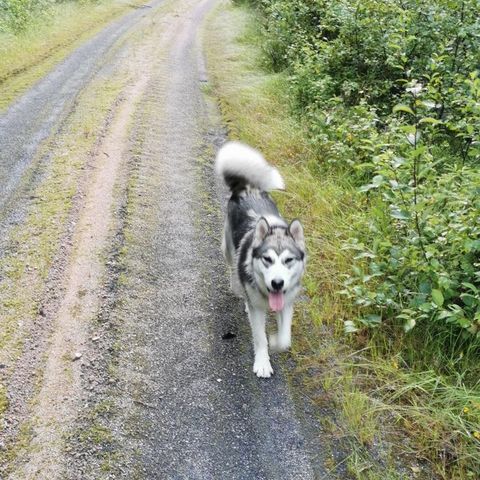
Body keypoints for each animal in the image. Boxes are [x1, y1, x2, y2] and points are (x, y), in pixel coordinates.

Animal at [216, 141, 306, 376]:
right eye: (267, 259)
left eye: (288, 260)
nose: (277, 283)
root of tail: (248, 187)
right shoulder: (258, 309)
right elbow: (259, 338)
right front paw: (263, 363)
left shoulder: (287, 303)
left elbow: (285, 339)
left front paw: (276, 342)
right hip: (228, 249)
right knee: (233, 270)